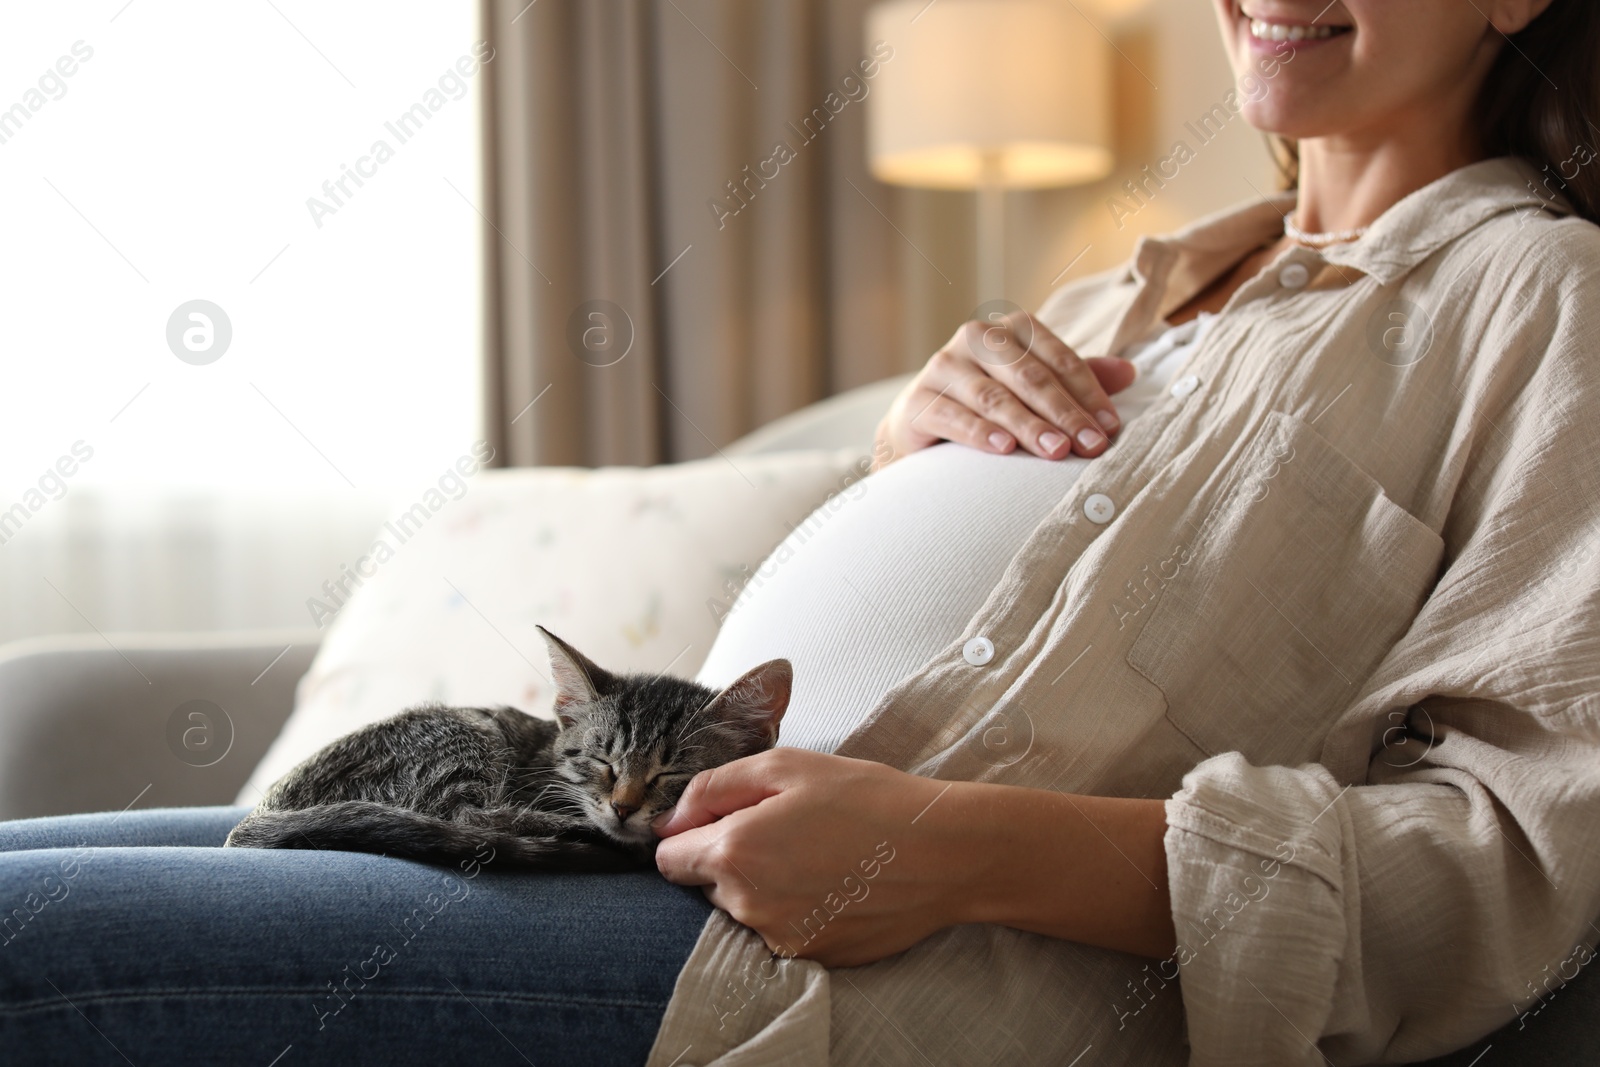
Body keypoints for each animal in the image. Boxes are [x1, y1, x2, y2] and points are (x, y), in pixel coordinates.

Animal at [227, 630, 793, 870]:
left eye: (671, 773)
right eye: (602, 761)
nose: (623, 807)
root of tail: (259, 814)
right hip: (460, 736)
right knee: (466, 819)